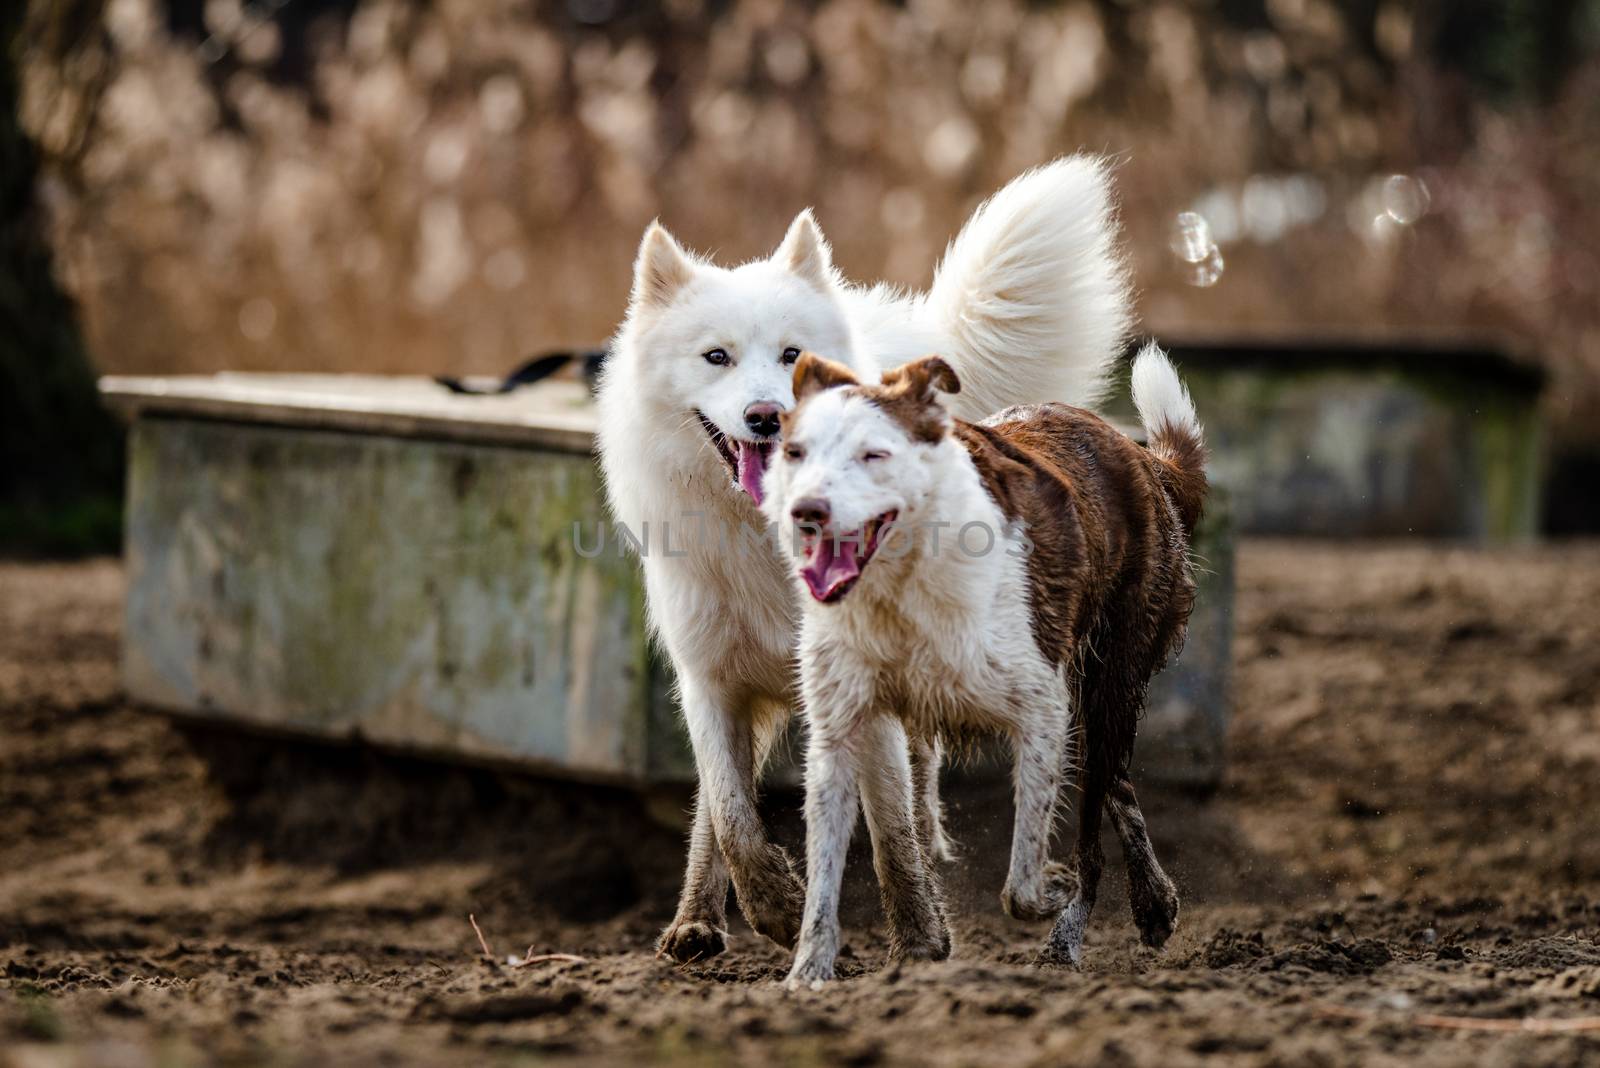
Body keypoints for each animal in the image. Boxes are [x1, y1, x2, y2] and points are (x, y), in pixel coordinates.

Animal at [595, 154, 1132, 965]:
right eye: (716, 357)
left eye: (793, 357)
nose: (767, 417)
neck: (766, 543)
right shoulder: (709, 678)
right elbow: (729, 810)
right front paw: (773, 906)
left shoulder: (862, 681)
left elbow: (887, 823)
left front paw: (918, 933)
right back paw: (695, 921)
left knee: (918, 774)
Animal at [758, 346, 1203, 991]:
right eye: (795, 453)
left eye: (874, 454)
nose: (806, 512)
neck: (900, 585)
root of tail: (1141, 455)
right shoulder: (837, 733)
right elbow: (823, 876)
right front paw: (807, 973)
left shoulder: (1041, 710)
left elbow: (1023, 879)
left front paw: (1055, 888)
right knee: (1116, 783)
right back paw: (1152, 906)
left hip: (1109, 680)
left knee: (1098, 818)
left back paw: (1073, 937)